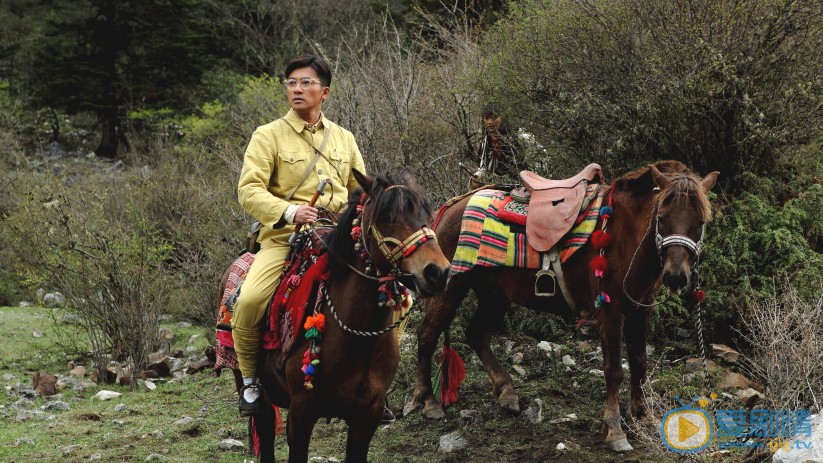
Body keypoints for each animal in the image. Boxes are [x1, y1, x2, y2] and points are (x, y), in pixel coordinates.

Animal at [230, 171, 450, 463]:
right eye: (387, 218)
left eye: (426, 213)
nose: (438, 272)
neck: (356, 338)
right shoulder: (301, 412)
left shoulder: (368, 415)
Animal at [408, 161, 716, 452]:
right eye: (661, 219)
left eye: (700, 222)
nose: (676, 277)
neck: (624, 234)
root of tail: (453, 205)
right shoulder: (611, 312)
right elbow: (614, 370)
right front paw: (615, 431)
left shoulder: (641, 309)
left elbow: (640, 362)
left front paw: (644, 419)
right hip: (451, 287)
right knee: (428, 334)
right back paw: (428, 401)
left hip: (494, 294)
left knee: (476, 334)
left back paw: (506, 392)